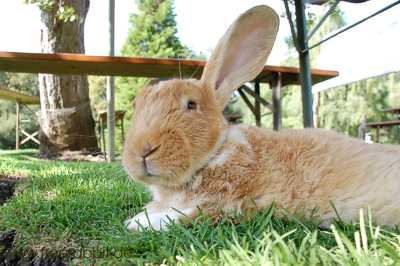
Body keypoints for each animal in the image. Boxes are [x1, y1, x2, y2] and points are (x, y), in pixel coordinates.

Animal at [122, 4, 400, 231]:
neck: (216, 153)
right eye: (137, 104)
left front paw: (137, 223)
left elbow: (181, 216)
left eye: (191, 104)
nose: (143, 151)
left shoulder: (228, 205)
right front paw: (139, 216)